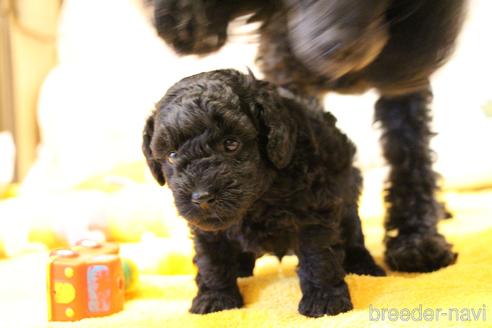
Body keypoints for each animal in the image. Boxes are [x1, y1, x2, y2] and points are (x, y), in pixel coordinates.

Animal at [142, 70, 384, 318]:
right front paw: (215, 299)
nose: (202, 197)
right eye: (172, 155)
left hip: (348, 192)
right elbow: (211, 259)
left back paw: (363, 265)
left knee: (353, 231)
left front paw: (324, 299)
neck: (256, 200)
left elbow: (318, 254)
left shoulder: (315, 208)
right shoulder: (207, 228)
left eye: (231, 144)